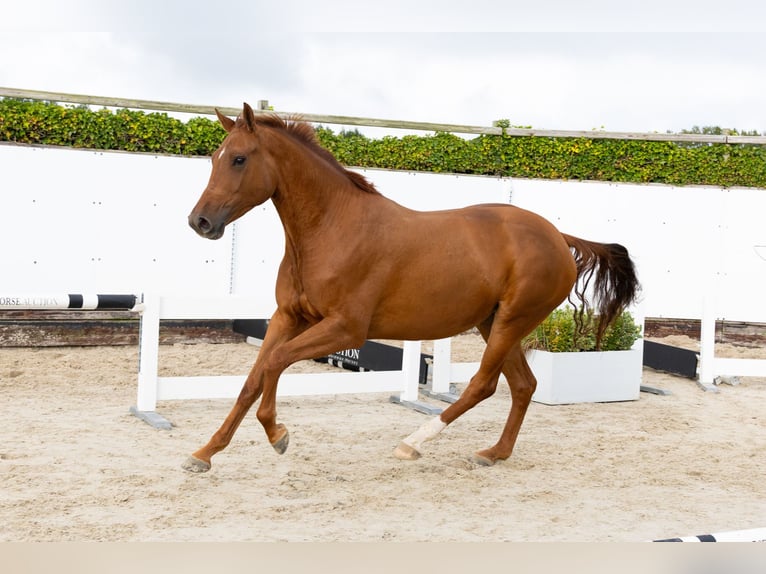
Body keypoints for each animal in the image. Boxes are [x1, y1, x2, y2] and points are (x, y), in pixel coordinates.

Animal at [184, 102, 639, 472]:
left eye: (239, 159)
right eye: (213, 158)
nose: (199, 221)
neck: (332, 229)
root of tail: (559, 236)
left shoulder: (346, 329)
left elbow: (275, 364)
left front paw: (278, 434)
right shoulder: (287, 317)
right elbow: (252, 381)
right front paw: (204, 454)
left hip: (512, 320)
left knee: (483, 383)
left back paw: (413, 443)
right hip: (495, 323)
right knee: (523, 385)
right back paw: (494, 453)